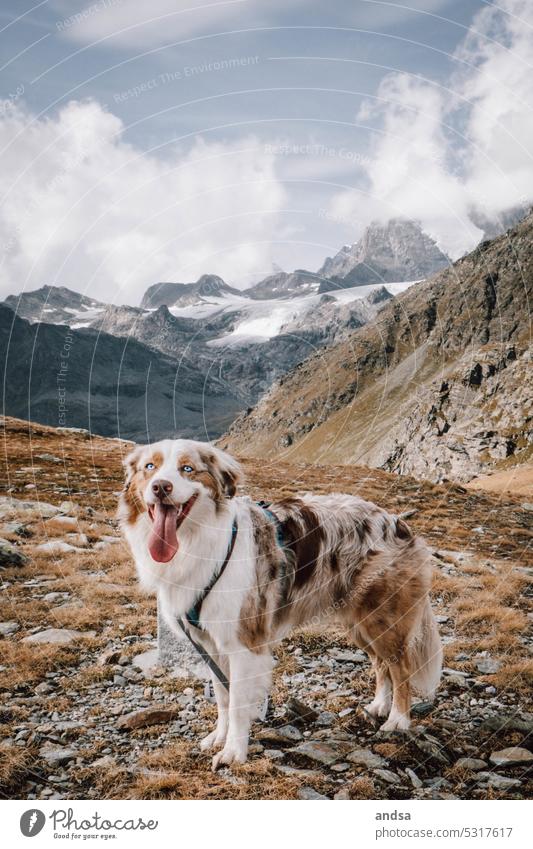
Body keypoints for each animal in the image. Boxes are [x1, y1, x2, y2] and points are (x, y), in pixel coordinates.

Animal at [119, 438, 440, 768]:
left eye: (187, 469)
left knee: (400, 666)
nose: (161, 487)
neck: (200, 543)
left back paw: (398, 720)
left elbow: (237, 703)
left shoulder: (244, 644)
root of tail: (397, 522)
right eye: (149, 467)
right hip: (359, 622)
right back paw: (378, 706)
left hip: (383, 618)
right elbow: (223, 697)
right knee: (381, 663)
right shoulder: (210, 643)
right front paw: (219, 738)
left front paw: (234, 752)